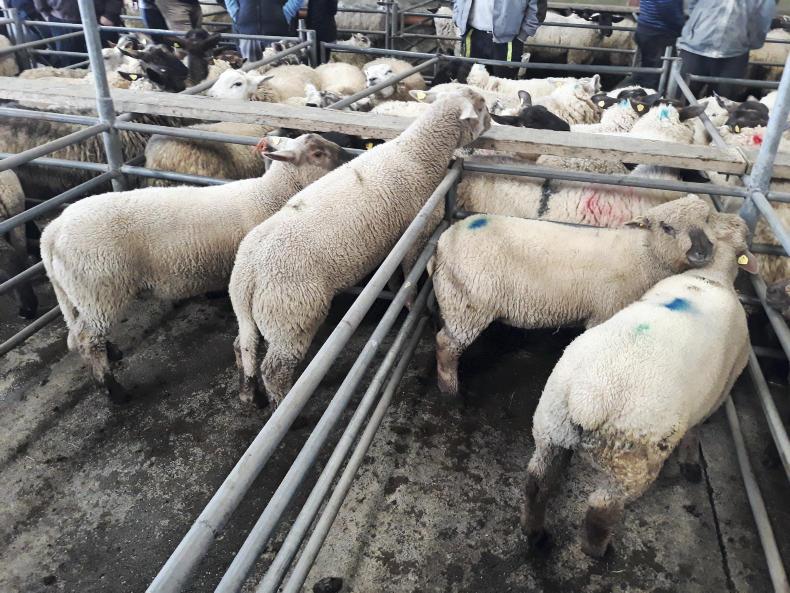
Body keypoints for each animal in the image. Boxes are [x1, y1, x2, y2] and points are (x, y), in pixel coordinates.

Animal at [40, 134, 349, 402]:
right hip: (99, 289)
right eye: (318, 153)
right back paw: (114, 390)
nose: (348, 156)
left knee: (79, 331)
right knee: (87, 338)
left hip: (80, 291)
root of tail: (52, 231)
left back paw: (111, 352)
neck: (267, 195)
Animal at [229, 87, 491, 407]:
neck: (416, 154)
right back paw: (284, 402)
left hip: (254, 317)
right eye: (481, 106)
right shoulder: (416, 231)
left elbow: (394, 279)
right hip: (290, 318)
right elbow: (410, 276)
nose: (492, 122)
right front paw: (413, 306)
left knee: (244, 345)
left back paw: (246, 392)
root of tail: (247, 275)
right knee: (275, 370)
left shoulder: (394, 236)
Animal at [431, 196, 719, 396]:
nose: (703, 250)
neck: (644, 254)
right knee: (446, 344)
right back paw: (449, 389)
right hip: (468, 306)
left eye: (707, 219)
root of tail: (443, 242)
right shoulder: (604, 312)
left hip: (456, 301)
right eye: (667, 227)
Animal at [522, 211, 756, 557]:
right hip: (629, 463)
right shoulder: (718, 392)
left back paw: (536, 534)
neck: (709, 276)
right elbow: (694, 433)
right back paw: (598, 551)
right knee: (601, 508)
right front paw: (690, 465)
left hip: (550, 428)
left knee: (537, 483)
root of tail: (591, 400)